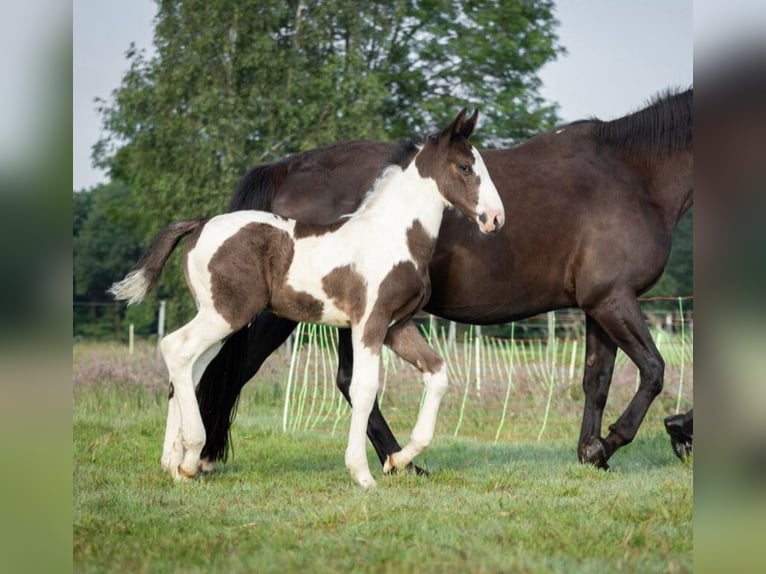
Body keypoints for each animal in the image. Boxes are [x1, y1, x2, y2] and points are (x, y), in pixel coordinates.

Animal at [108, 110, 504, 488]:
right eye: (465, 167)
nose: (496, 219)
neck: (392, 235)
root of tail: (200, 223)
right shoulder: (370, 323)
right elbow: (364, 389)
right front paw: (362, 474)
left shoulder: (398, 326)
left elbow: (437, 373)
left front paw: (399, 460)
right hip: (226, 314)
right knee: (175, 348)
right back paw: (190, 455)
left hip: (219, 320)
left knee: (191, 368)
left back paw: (176, 465)